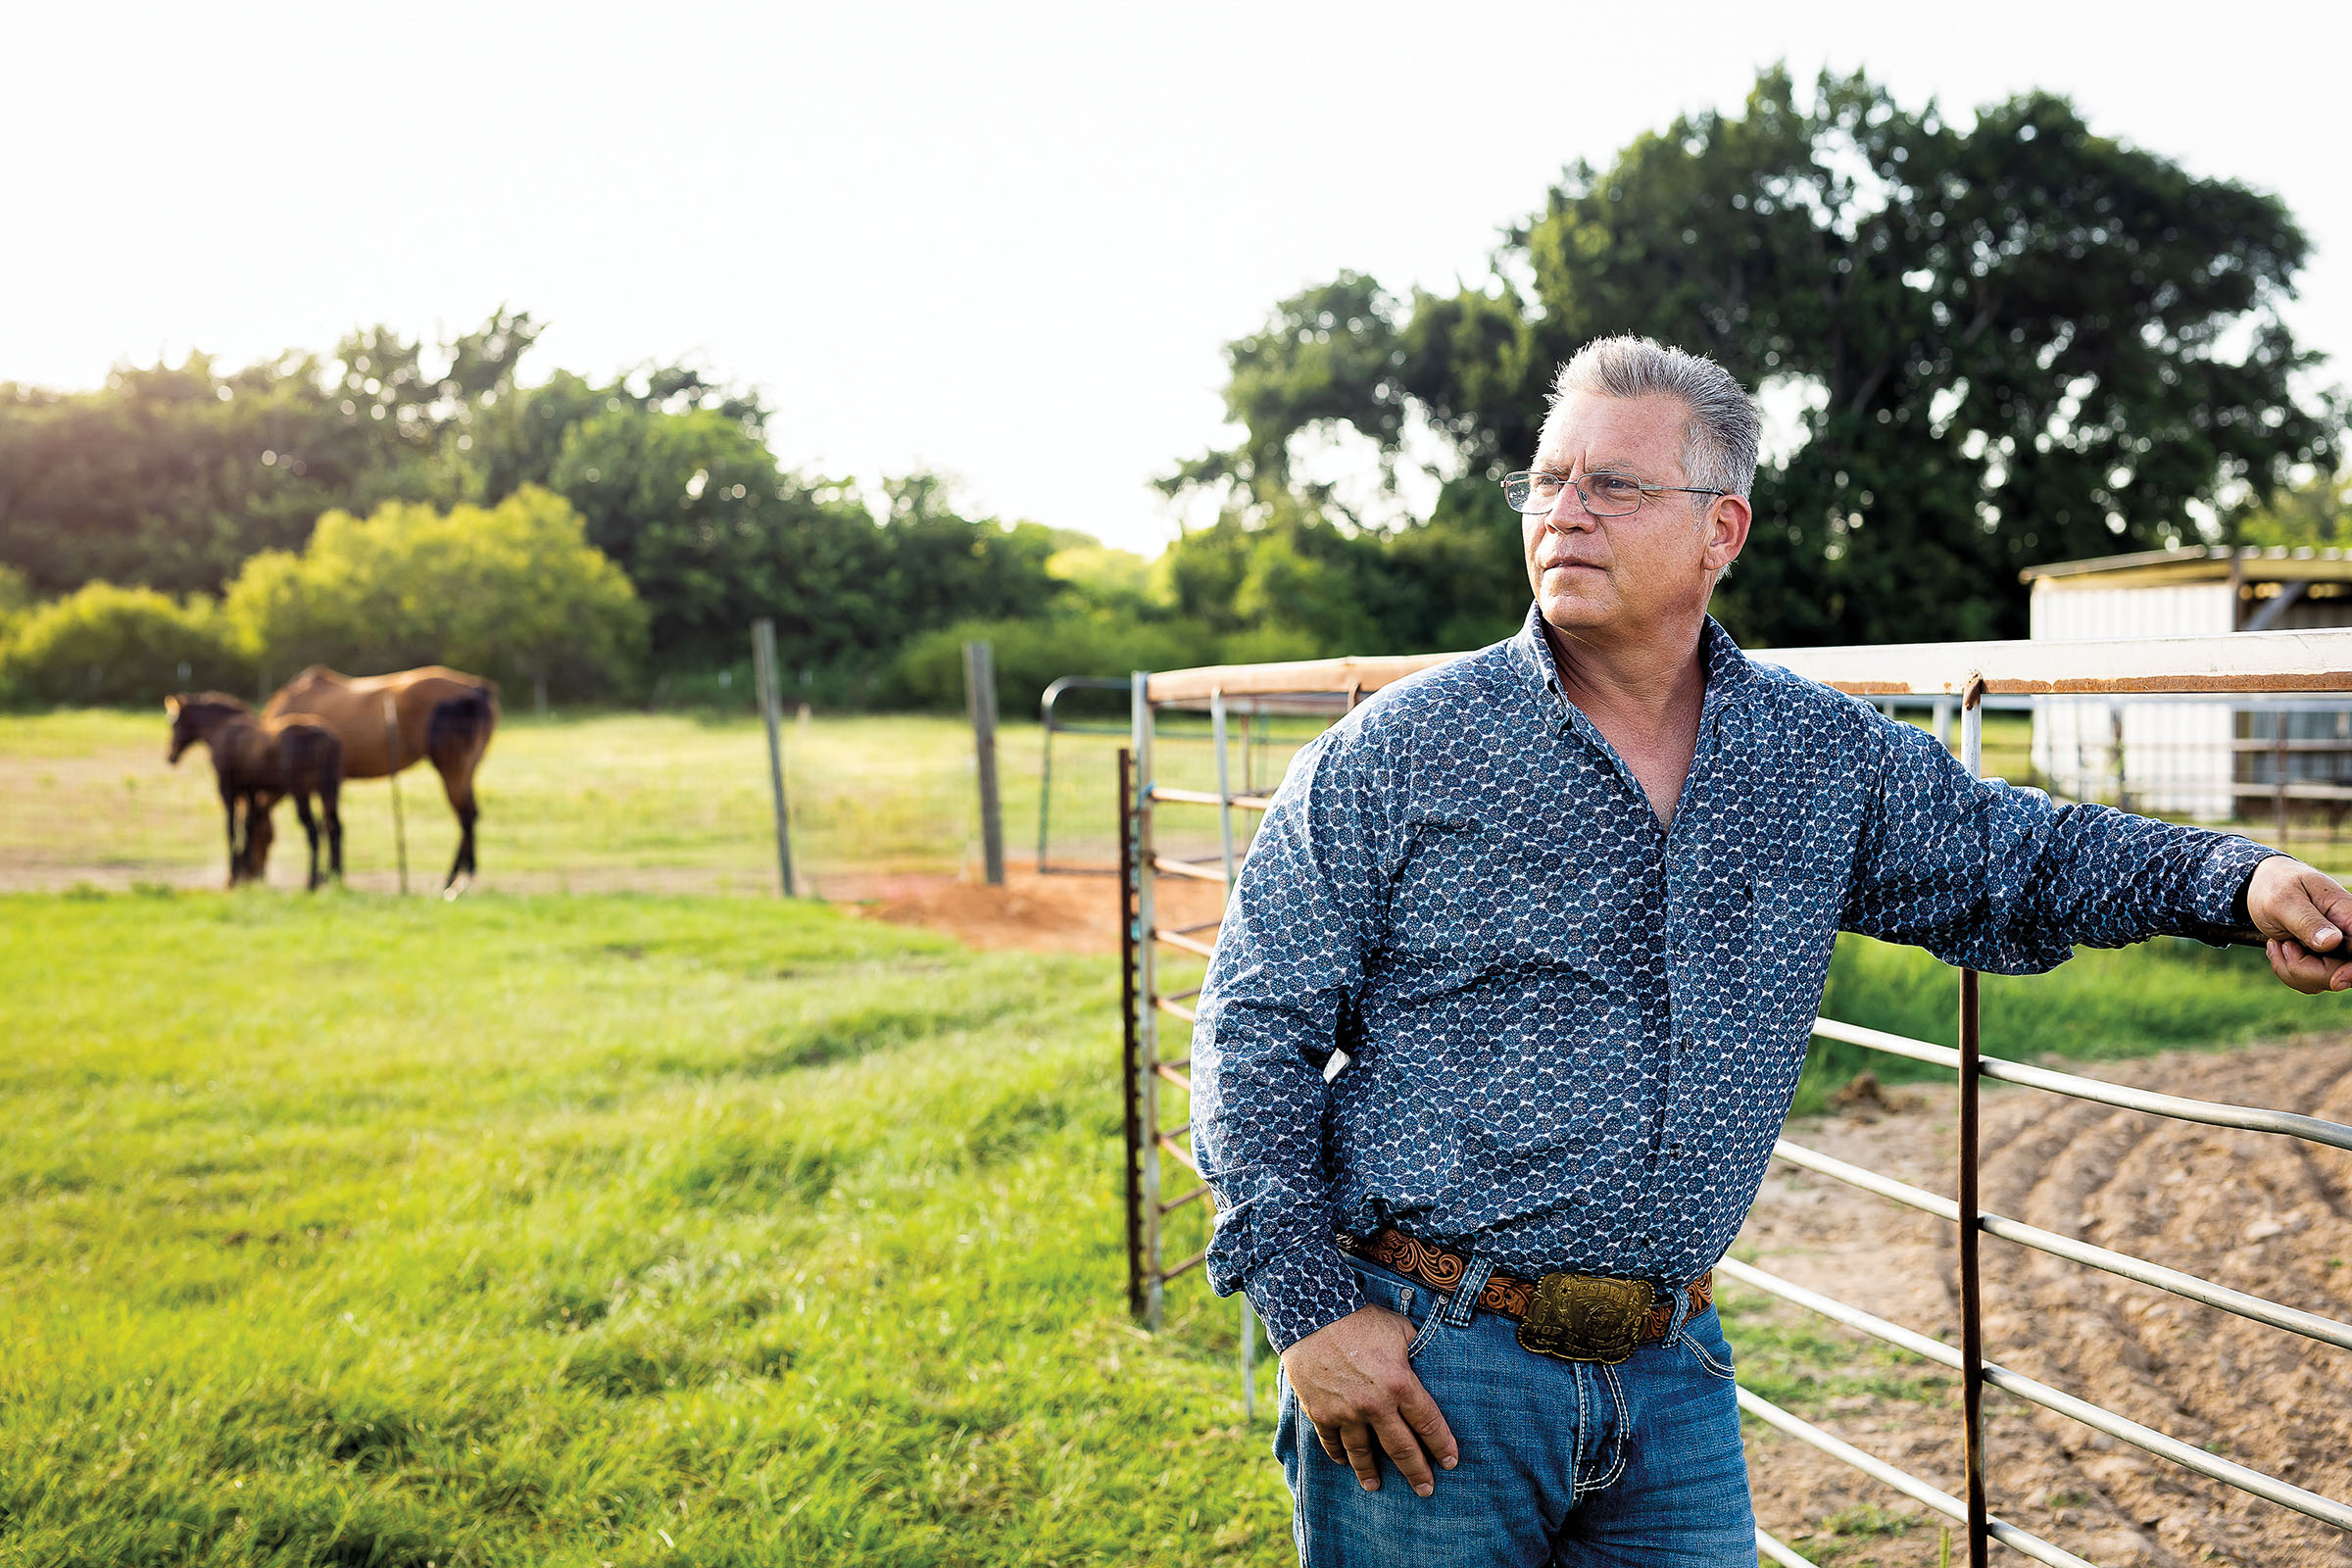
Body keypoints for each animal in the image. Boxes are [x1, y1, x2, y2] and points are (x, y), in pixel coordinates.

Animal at [166, 691, 343, 888]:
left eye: (174, 723)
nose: (170, 756)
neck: (224, 729)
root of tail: (321, 736)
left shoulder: (228, 790)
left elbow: (232, 829)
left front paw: (233, 876)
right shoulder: (251, 790)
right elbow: (249, 826)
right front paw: (245, 872)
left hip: (301, 794)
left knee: (314, 831)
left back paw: (311, 882)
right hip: (328, 793)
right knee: (334, 827)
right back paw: (334, 877)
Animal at [257, 658, 496, 888]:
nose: (256, 874)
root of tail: (474, 689)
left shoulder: (322, 781)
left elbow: (330, 823)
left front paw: (331, 875)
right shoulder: (330, 782)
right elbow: (329, 823)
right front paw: (329, 874)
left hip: (452, 768)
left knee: (465, 816)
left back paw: (453, 878)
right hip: (467, 768)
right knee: (470, 814)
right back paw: (462, 874)